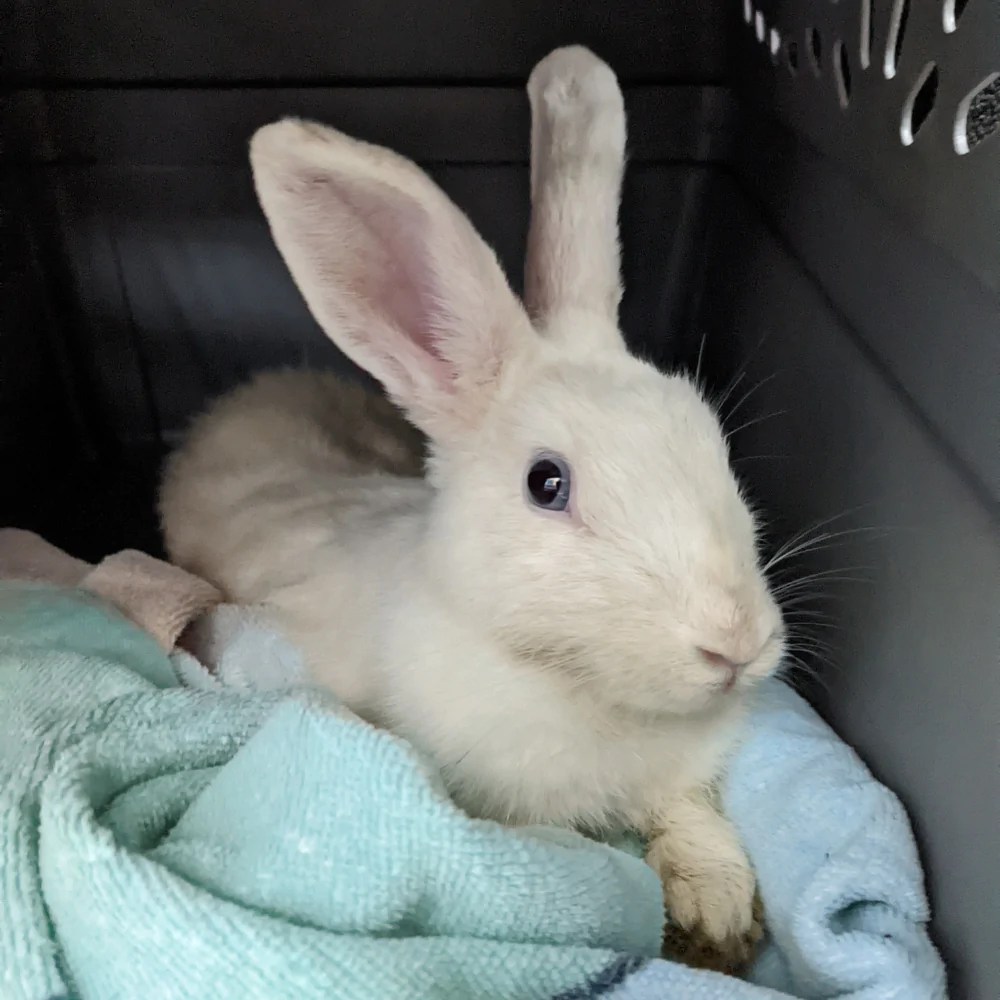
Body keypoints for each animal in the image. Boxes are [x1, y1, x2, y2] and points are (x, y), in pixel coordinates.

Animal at [160, 46, 785, 970]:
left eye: (714, 442)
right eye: (547, 483)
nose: (737, 645)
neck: (572, 682)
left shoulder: (680, 777)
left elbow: (691, 819)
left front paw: (720, 917)